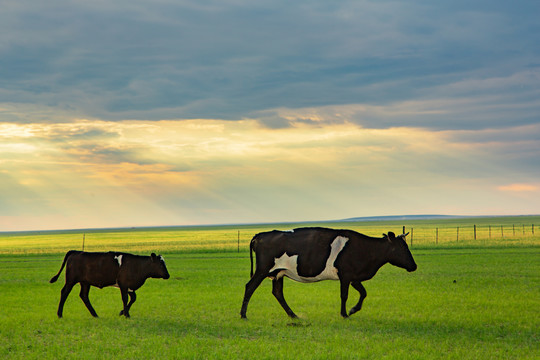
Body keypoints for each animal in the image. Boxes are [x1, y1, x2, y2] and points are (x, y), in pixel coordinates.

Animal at [240, 226, 418, 320]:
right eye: (402, 248)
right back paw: (243, 315)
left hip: (279, 272)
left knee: (277, 293)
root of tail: (260, 235)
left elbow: (364, 293)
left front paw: (353, 310)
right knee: (250, 287)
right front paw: (345, 313)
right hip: (263, 269)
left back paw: (293, 315)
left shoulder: (354, 276)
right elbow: (344, 295)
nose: (414, 266)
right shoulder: (346, 275)